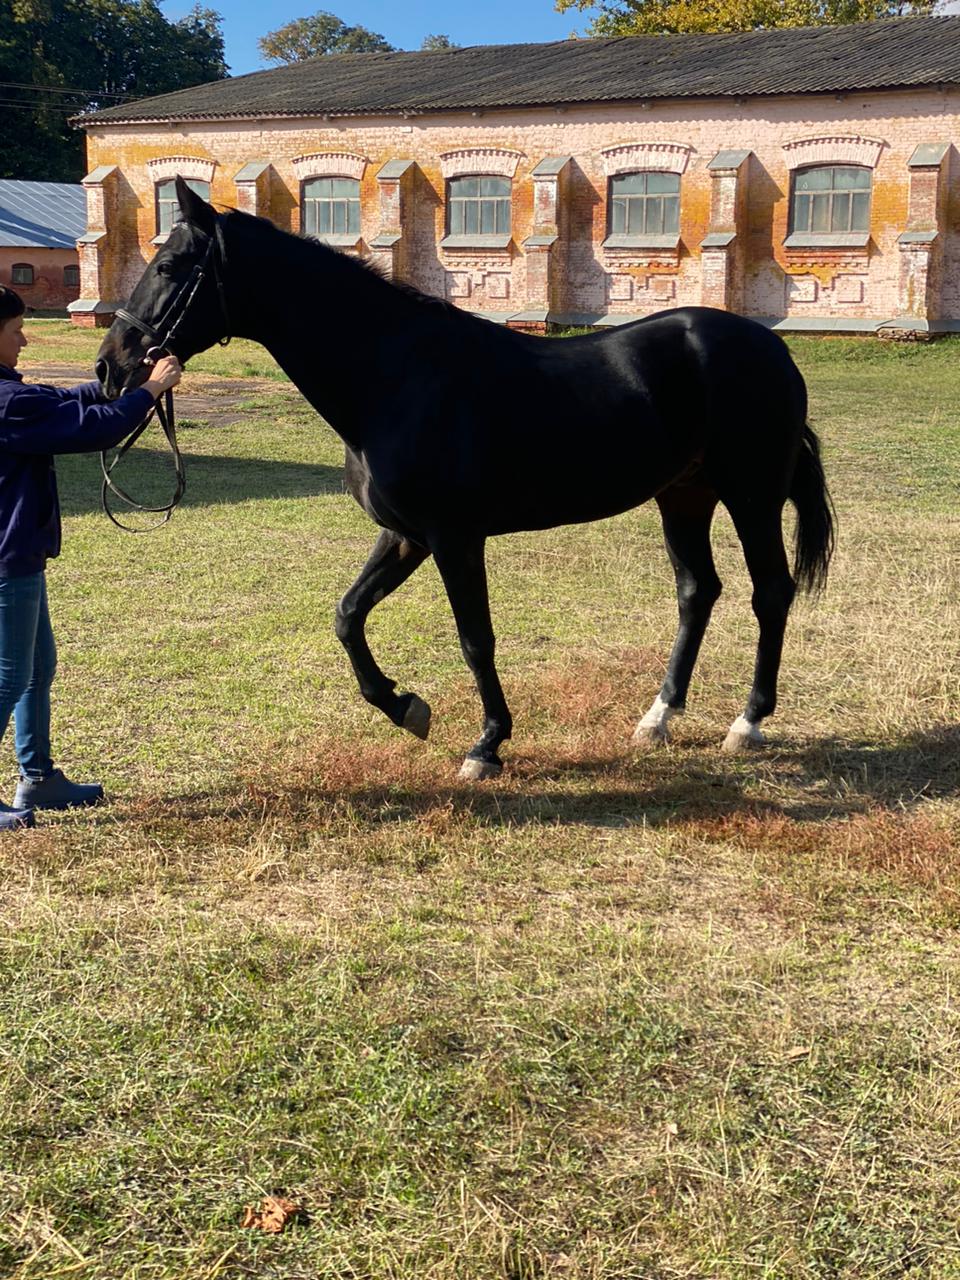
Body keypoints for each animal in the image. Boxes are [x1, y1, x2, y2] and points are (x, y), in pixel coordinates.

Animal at [97, 177, 834, 778]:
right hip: (683, 497)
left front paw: (488, 744)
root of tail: (770, 349)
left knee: (770, 593)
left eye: (170, 265)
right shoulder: (406, 536)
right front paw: (404, 707)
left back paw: (748, 723)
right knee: (696, 592)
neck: (395, 377)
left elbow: (475, 639)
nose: (112, 365)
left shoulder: (455, 539)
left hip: (751, 497)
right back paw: (658, 718)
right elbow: (347, 616)